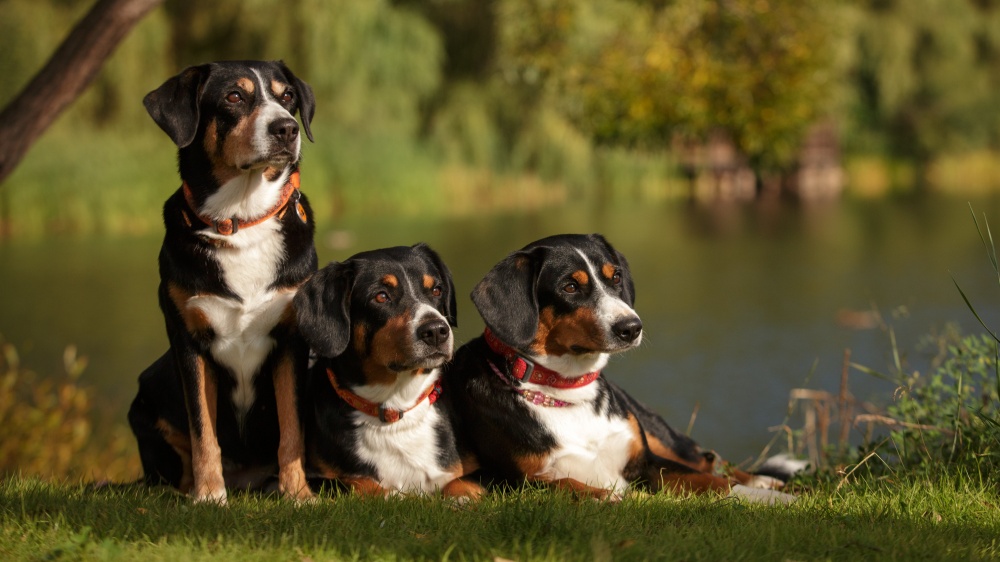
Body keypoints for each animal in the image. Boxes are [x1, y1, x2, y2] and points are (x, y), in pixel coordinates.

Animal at [127, 61, 316, 504]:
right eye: (234, 96)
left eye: (287, 96)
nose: (286, 128)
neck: (241, 220)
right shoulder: (188, 342)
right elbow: (202, 431)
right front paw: (209, 494)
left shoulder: (291, 340)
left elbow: (292, 427)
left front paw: (298, 493)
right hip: (147, 390)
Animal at [292, 243, 484, 496]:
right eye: (381, 296)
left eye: (436, 290)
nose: (436, 331)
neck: (395, 406)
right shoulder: (316, 477)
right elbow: (357, 483)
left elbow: (462, 481)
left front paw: (461, 497)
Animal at [446, 232, 796, 498]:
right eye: (569, 286)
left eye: (614, 277)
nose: (631, 327)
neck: (567, 389)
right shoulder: (513, 481)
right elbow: (565, 483)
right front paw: (601, 496)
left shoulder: (648, 462)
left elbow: (717, 482)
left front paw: (770, 497)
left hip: (658, 433)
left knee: (710, 460)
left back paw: (764, 480)